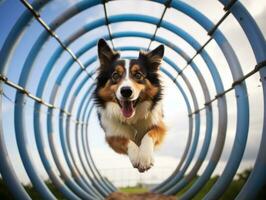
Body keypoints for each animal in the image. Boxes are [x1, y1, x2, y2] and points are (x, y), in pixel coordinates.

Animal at [93, 39, 166, 172]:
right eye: (115, 75)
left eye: (138, 75)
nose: (126, 91)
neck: (132, 119)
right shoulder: (111, 134)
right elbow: (125, 140)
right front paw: (137, 156)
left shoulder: (160, 125)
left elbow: (149, 134)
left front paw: (145, 157)